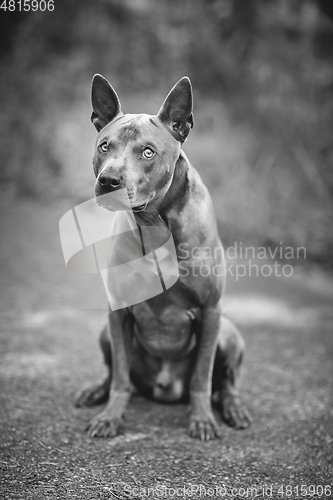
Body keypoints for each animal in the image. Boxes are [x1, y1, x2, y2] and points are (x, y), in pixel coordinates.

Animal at [75, 72, 250, 440]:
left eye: (147, 152)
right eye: (104, 146)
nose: (108, 180)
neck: (154, 225)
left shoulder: (210, 311)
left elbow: (201, 377)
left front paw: (202, 419)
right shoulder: (118, 311)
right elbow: (121, 376)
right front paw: (111, 416)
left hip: (227, 332)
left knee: (225, 383)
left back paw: (233, 408)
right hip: (105, 331)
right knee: (115, 373)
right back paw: (96, 391)